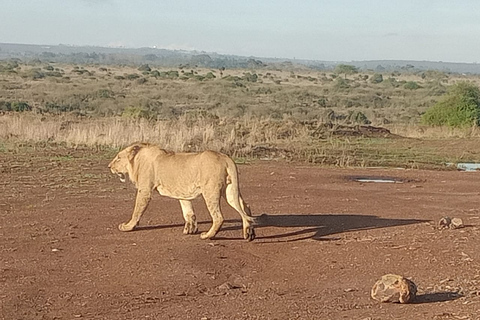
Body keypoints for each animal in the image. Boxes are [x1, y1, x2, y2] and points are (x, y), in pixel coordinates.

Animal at [108, 142, 255, 240]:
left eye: (118, 158)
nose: (109, 166)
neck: (137, 160)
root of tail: (225, 158)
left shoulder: (145, 191)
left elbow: (137, 210)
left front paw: (128, 226)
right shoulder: (182, 191)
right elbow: (188, 211)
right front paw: (190, 229)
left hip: (210, 190)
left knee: (218, 217)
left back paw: (207, 235)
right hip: (229, 190)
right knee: (245, 207)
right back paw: (249, 233)